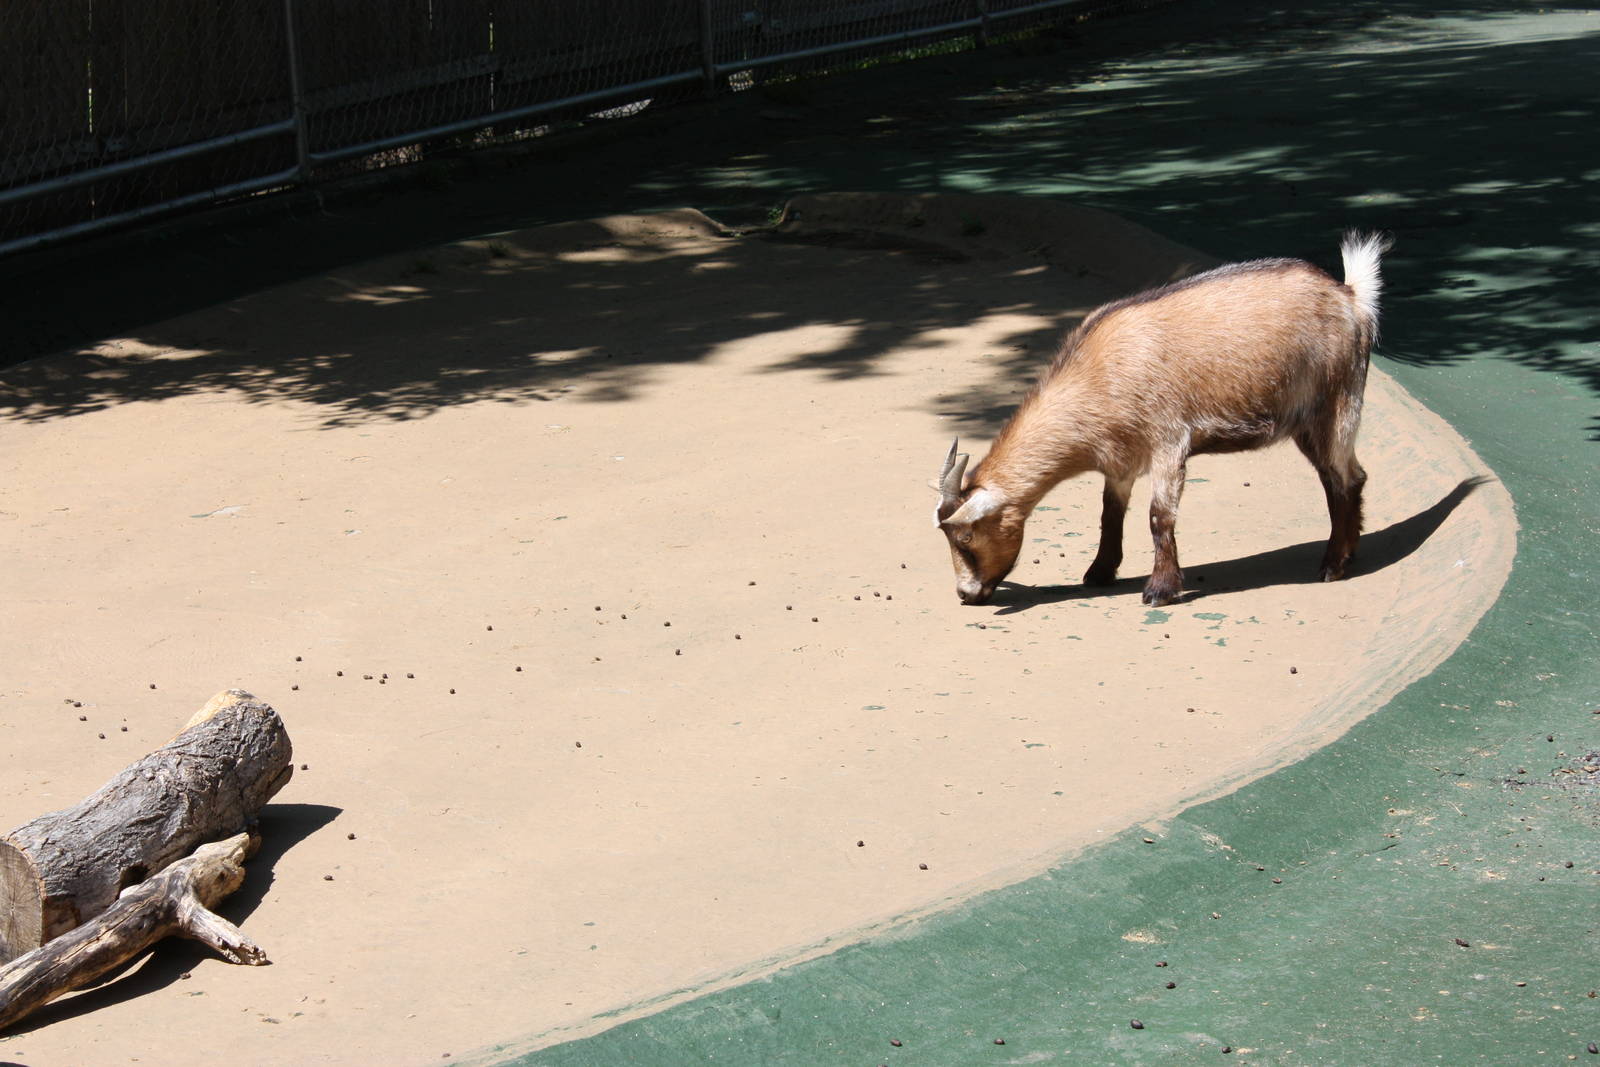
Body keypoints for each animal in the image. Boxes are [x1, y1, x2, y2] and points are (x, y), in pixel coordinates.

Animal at [934, 231, 1390, 607]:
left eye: (967, 536)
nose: (966, 594)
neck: (1099, 372)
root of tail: (1349, 296)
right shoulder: (1120, 460)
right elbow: (1110, 513)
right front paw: (1099, 572)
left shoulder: (1169, 440)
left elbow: (1159, 515)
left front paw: (1160, 590)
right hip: (1307, 422)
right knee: (1340, 478)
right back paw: (1347, 553)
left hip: (1337, 401)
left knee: (1346, 476)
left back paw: (1333, 566)